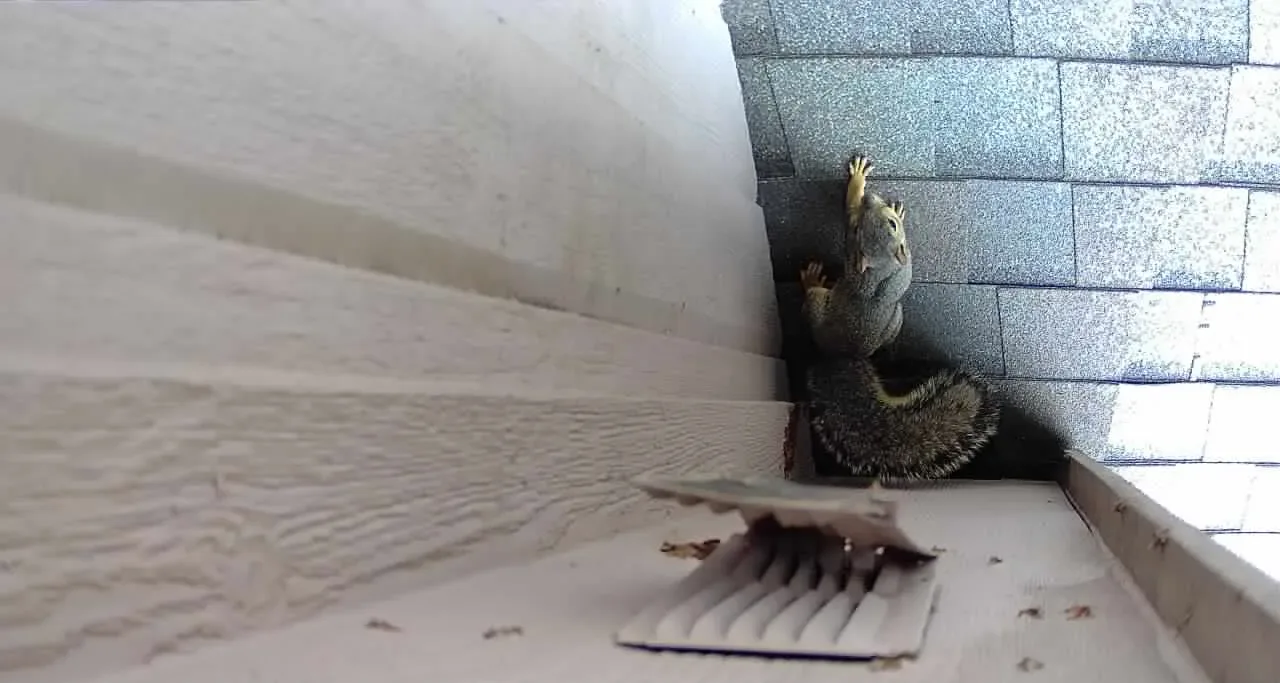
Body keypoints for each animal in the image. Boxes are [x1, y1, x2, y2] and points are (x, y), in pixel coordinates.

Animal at [800, 155, 912, 358]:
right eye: (858, 229)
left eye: (892, 224)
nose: (867, 197)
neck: (883, 263)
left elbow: (851, 204)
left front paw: (858, 177)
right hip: (897, 317)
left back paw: (812, 279)